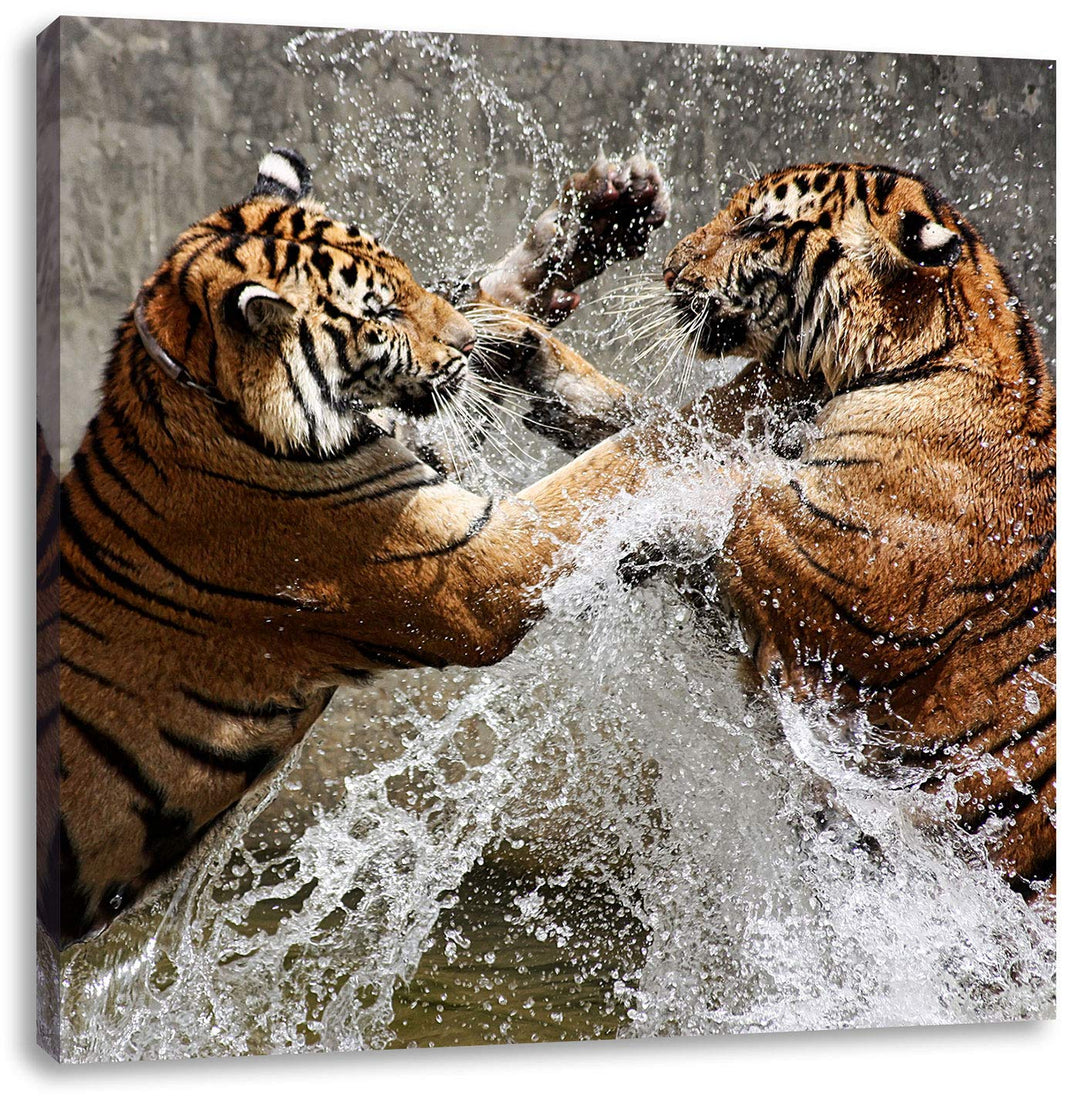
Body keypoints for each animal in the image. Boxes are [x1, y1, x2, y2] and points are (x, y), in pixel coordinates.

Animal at [38, 147, 676, 946]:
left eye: (407, 279)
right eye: (382, 313)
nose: (466, 343)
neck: (216, 404)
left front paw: (599, 216)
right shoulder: (466, 570)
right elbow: (607, 469)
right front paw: (727, 417)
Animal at [502, 162, 1056, 903]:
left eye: (757, 225)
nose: (670, 268)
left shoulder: (837, 573)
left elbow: (712, 488)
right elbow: (666, 432)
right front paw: (524, 351)